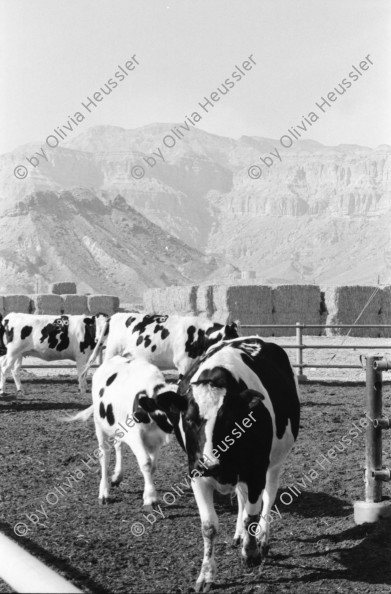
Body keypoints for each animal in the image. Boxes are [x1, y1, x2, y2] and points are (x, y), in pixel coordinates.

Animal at [139, 336, 302, 588]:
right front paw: (206, 574)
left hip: (275, 463)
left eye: (229, 420)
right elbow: (209, 526)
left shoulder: (255, 472)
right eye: (188, 419)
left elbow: (252, 516)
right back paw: (239, 535)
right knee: (242, 500)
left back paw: (262, 537)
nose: (210, 464)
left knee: (268, 497)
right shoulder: (196, 473)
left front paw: (251, 553)